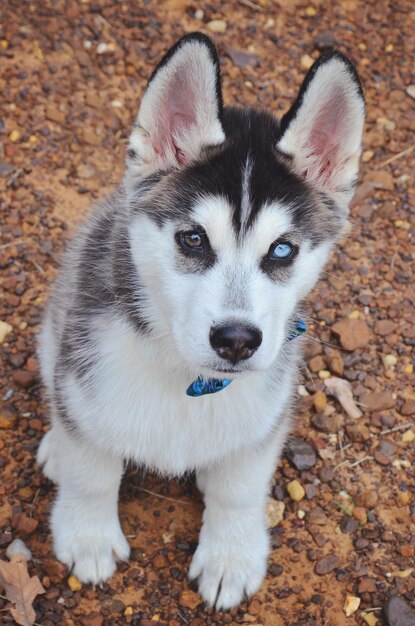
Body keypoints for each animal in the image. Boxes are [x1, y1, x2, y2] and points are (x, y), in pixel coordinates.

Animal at [37, 31, 366, 608]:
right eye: (192, 238)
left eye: (282, 250)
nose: (236, 339)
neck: (187, 377)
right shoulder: (83, 384)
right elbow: (91, 473)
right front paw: (87, 536)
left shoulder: (264, 416)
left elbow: (239, 489)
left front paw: (230, 556)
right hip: (51, 336)